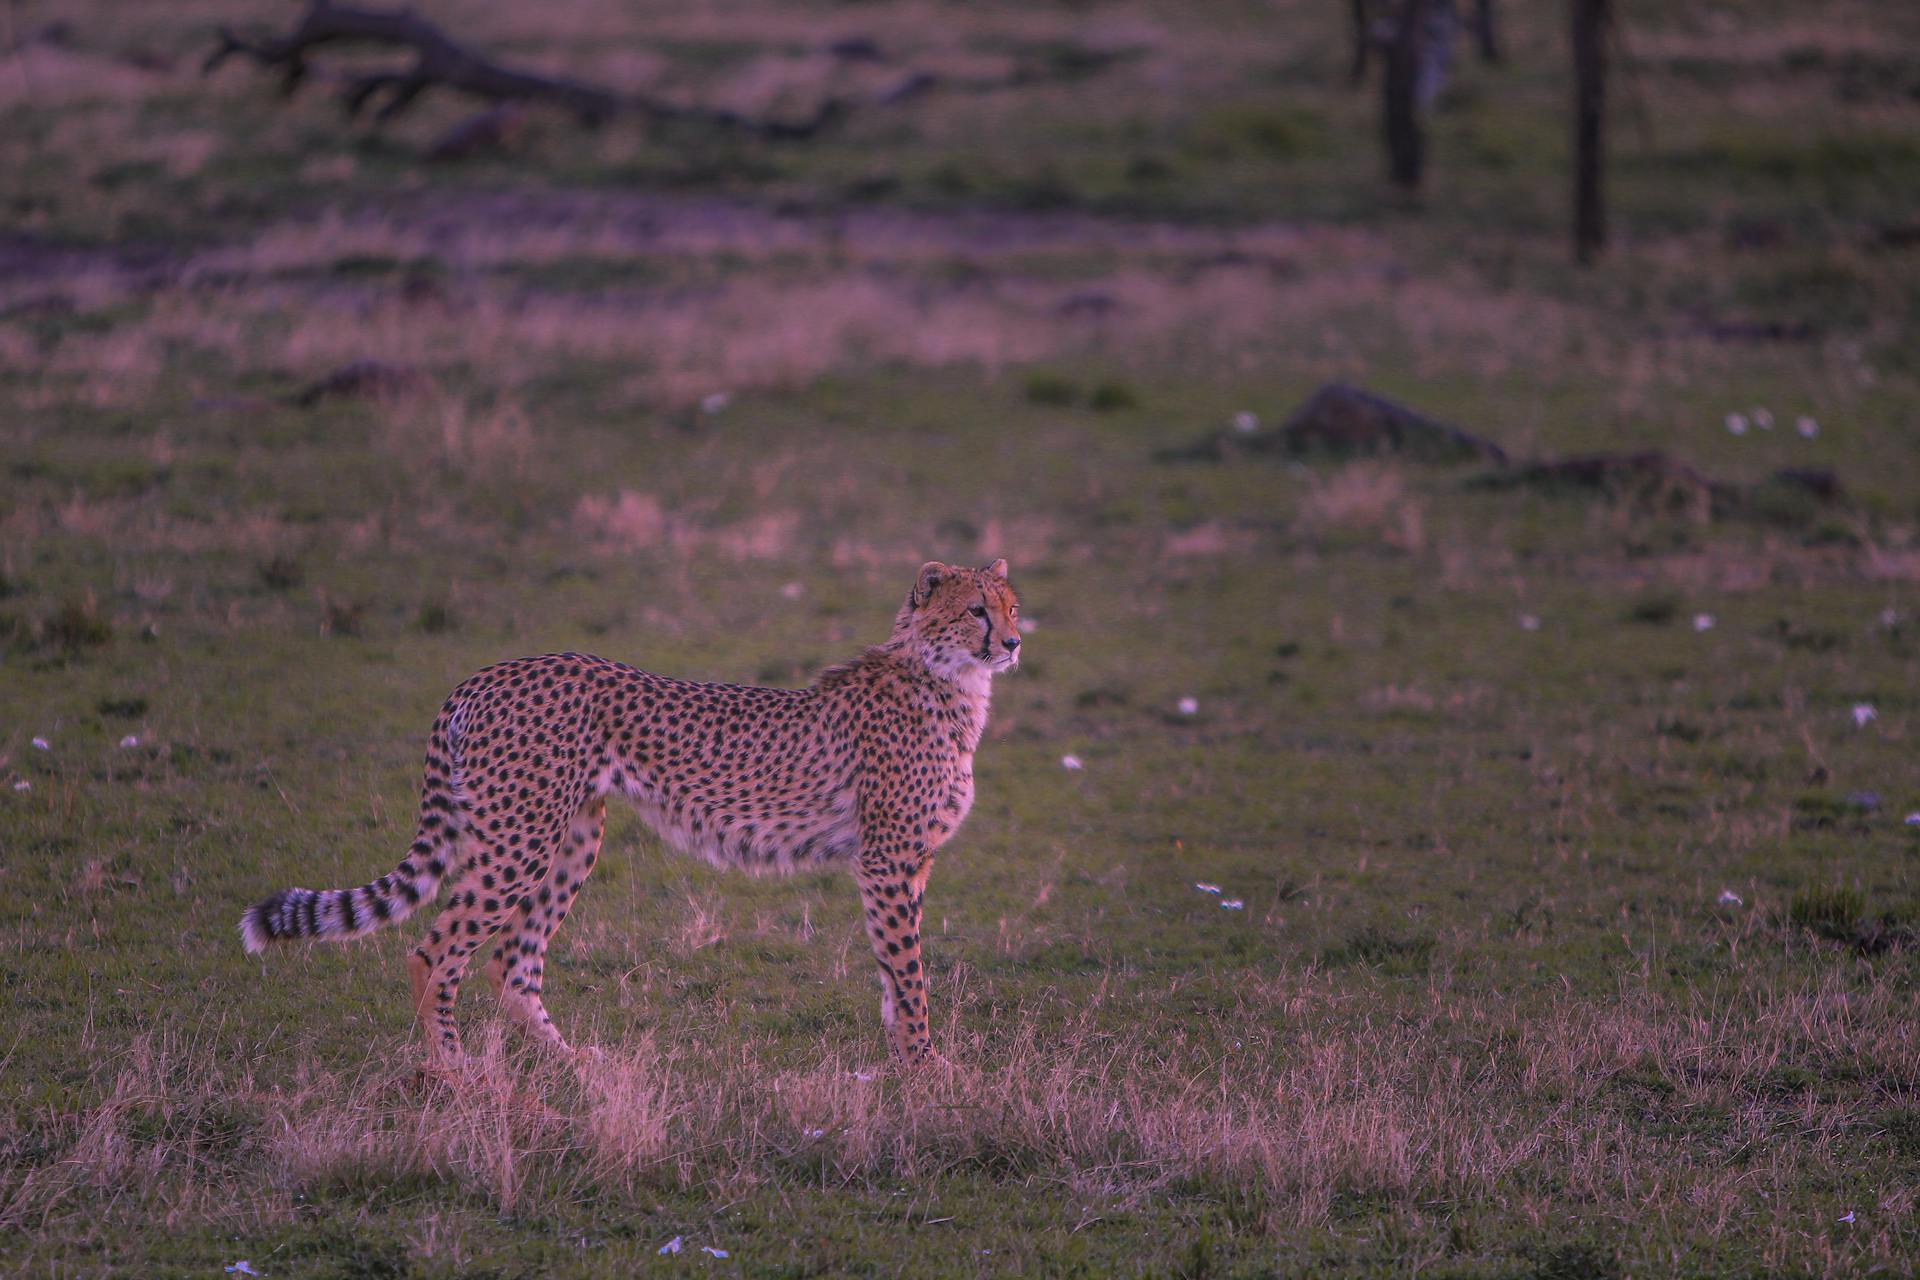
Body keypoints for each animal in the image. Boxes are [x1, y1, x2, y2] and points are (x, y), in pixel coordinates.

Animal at [240, 560, 1021, 1074]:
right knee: (435, 952)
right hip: (520, 838)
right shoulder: (887, 860)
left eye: (1013, 606)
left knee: (510, 960)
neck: (947, 678)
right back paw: (455, 1074)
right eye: (977, 611)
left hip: (571, 836)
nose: (1013, 643)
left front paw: (906, 1059)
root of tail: (486, 673)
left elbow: (893, 971)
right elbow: (909, 972)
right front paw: (926, 1069)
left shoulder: (906, 864)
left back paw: (573, 1063)